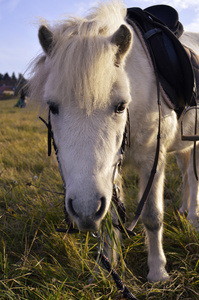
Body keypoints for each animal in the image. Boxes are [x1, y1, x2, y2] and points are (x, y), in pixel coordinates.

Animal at [28, 0, 199, 282]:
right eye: (52, 107)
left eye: (120, 106)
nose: (84, 210)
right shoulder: (108, 172)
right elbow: (110, 222)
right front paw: (104, 269)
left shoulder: (152, 160)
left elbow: (152, 216)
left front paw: (158, 272)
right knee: (186, 175)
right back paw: (185, 211)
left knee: (193, 179)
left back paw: (194, 218)